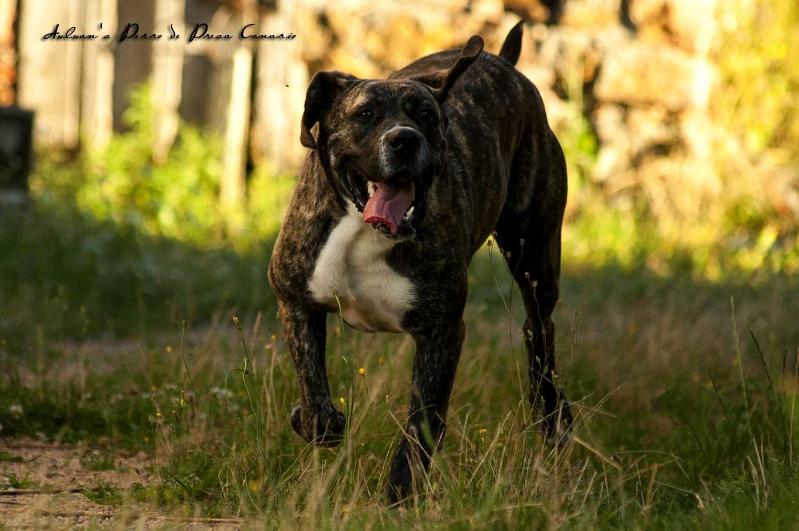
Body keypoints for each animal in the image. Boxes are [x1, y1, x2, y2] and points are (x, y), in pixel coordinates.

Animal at [272, 20, 572, 502]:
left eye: (426, 117)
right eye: (365, 115)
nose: (405, 138)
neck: (364, 230)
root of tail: (503, 62)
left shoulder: (441, 331)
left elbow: (422, 421)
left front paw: (399, 493)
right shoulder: (293, 296)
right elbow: (312, 387)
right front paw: (317, 419)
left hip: (535, 257)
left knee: (539, 332)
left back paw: (553, 420)